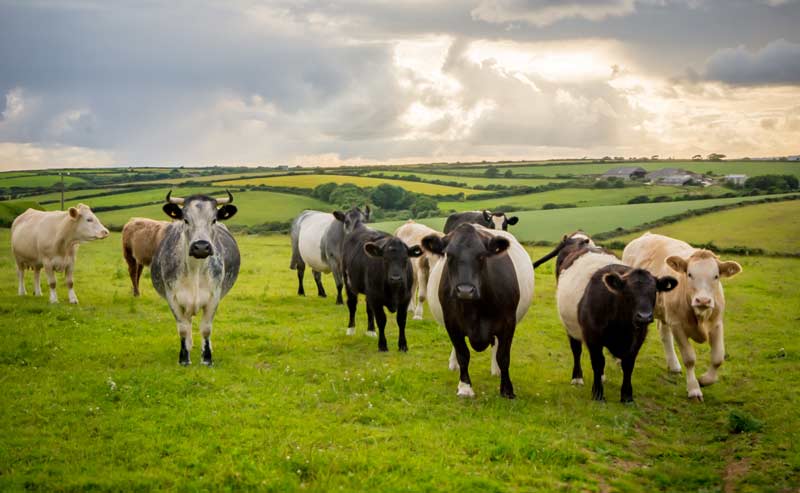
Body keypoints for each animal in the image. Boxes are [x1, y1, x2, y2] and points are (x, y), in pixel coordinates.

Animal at [150, 191, 240, 366]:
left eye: (214, 220)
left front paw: (207, 358)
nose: (201, 247)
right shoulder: (173, 298)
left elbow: (206, 328)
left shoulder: (214, 297)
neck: (195, 270)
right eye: (186, 220)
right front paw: (184, 358)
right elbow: (183, 329)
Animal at [340, 208, 422, 352]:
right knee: (352, 304)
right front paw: (382, 345)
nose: (396, 278)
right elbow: (381, 320)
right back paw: (351, 329)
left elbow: (401, 320)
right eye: (385, 259)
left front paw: (403, 345)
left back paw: (371, 331)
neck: (393, 289)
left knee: (368, 308)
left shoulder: (405, 298)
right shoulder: (376, 298)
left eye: (406, 259)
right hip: (349, 282)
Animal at [422, 223, 534, 399]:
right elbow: (463, 354)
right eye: (449, 255)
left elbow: (503, 356)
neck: (474, 310)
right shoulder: (452, 324)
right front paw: (465, 387)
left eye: (482, 256)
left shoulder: (509, 323)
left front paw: (507, 389)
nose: (465, 290)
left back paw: (496, 370)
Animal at [533, 235, 677, 402]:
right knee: (576, 350)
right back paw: (577, 377)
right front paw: (597, 393)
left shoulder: (638, 337)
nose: (644, 316)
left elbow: (628, 364)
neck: (622, 326)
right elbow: (598, 362)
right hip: (570, 325)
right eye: (628, 292)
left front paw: (627, 396)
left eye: (654, 291)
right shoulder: (592, 336)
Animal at [622, 232, 742, 401]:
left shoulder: (717, 323)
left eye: (716, 276)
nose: (703, 300)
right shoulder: (677, 325)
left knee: (665, 334)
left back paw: (673, 365)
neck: (700, 316)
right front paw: (694, 389)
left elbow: (718, 357)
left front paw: (705, 380)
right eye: (690, 274)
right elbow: (689, 358)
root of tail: (646, 235)